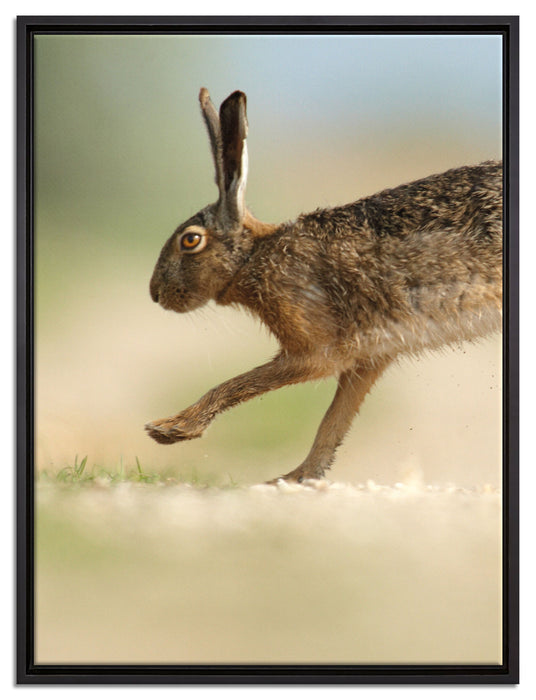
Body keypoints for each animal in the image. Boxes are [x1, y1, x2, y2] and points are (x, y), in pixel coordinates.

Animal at [146, 87, 503, 484]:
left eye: (190, 241)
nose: (155, 294)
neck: (252, 258)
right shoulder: (370, 357)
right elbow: (333, 422)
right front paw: (297, 477)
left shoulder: (315, 350)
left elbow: (242, 382)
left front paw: (170, 429)